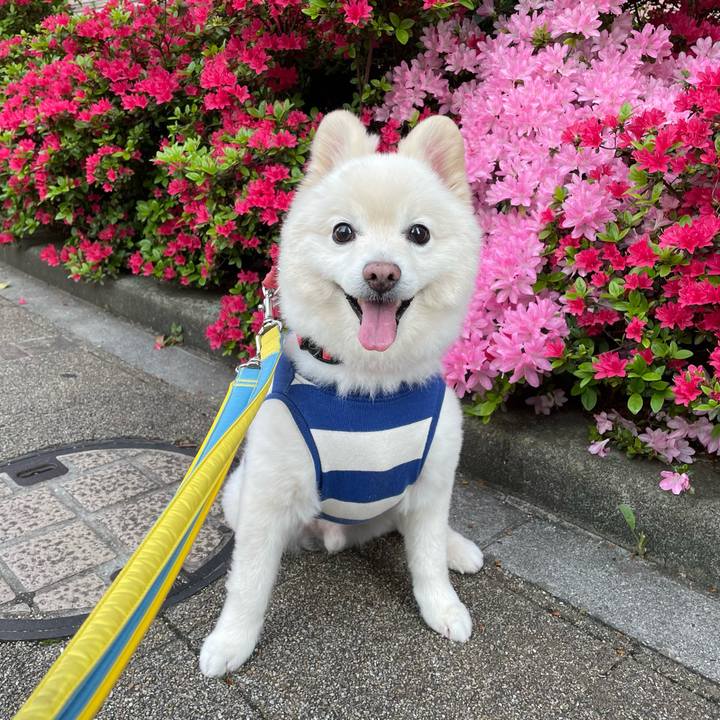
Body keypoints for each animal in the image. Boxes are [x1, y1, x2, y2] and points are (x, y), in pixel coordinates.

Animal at [199, 110, 483, 677]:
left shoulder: (433, 479)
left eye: (419, 234)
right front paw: (231, 642)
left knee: (421, 530)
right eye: (343, 232)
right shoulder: (266, 497)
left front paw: (442, 608)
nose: (381, 272)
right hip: (239, 495)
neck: (369, 385)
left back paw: (457, 549)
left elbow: (426, 558)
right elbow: (248, 583)